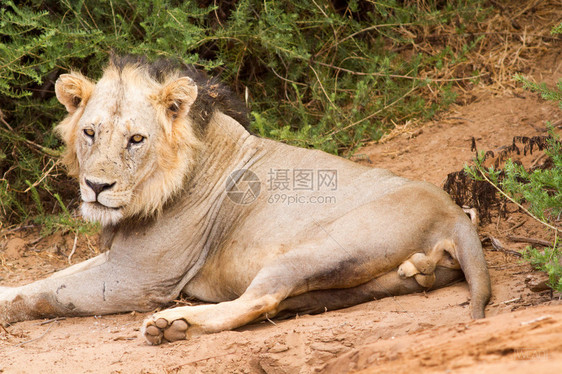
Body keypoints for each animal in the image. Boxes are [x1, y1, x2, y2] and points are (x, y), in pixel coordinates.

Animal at [0, 55, 490, 344]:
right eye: (89, 132)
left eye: (136, 139)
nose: (97, 187)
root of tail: (453, 212)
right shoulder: (122, 258)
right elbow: (50, 278)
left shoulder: (139, 279)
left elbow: (49, 294)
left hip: (317, 249)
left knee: (261, 300)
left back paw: (173, 325)